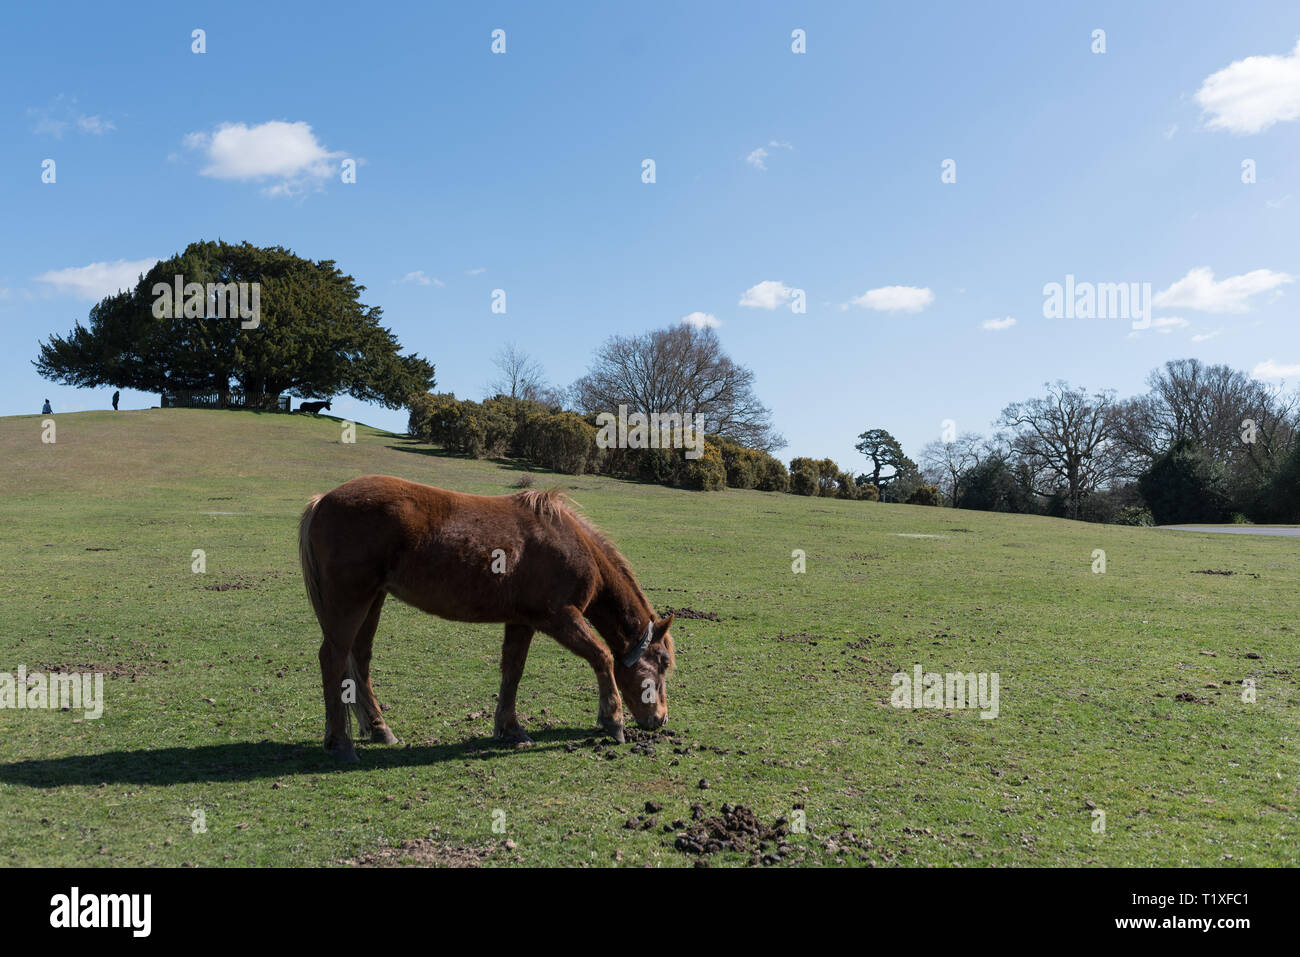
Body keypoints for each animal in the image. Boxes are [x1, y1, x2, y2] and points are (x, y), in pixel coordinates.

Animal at [298, 474, 675, 762]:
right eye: (662, 662)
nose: (660, 719)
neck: (568, 541)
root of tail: (322, 500)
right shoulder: (559, 617)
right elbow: (602, 656)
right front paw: (613, 721)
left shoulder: (523, 621)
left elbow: (513, 671)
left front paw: (510, 729)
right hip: (351, 602)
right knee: (333, 659)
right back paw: (340, 744)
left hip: (372, 601)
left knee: (360, 659)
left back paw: (379, 729)